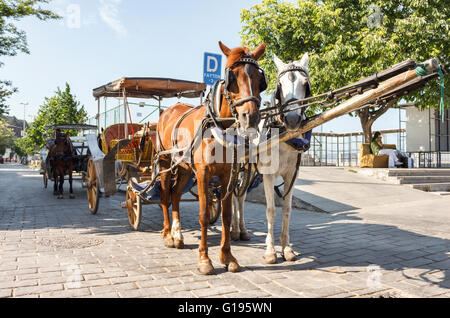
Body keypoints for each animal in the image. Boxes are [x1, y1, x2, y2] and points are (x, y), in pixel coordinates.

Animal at [156, 41, 266, 274]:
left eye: (259, 80)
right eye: (232, 77)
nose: (250, 117)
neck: (218, 126)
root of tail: (168, 110)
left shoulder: (227, 175)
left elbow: (225, 216)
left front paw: (228, 257)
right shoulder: (203, 174)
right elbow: (204, 215)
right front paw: (204, 259)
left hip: (185, 170)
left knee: (175, 195)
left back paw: (178, 235)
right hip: (165, 164)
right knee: (164, 196)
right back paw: (168, 234)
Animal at [230, 52, 312, 264]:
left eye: (305, 84)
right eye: (280, 85)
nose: (292, 119)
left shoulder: (292, 175)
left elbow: (287, 210)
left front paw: (287, 248)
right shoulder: (267, 175)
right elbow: (271, 210)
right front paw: (270, 251)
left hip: (249, 171)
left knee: (240, 197)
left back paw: (242, 230)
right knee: (232, 195)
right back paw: (233, 229)